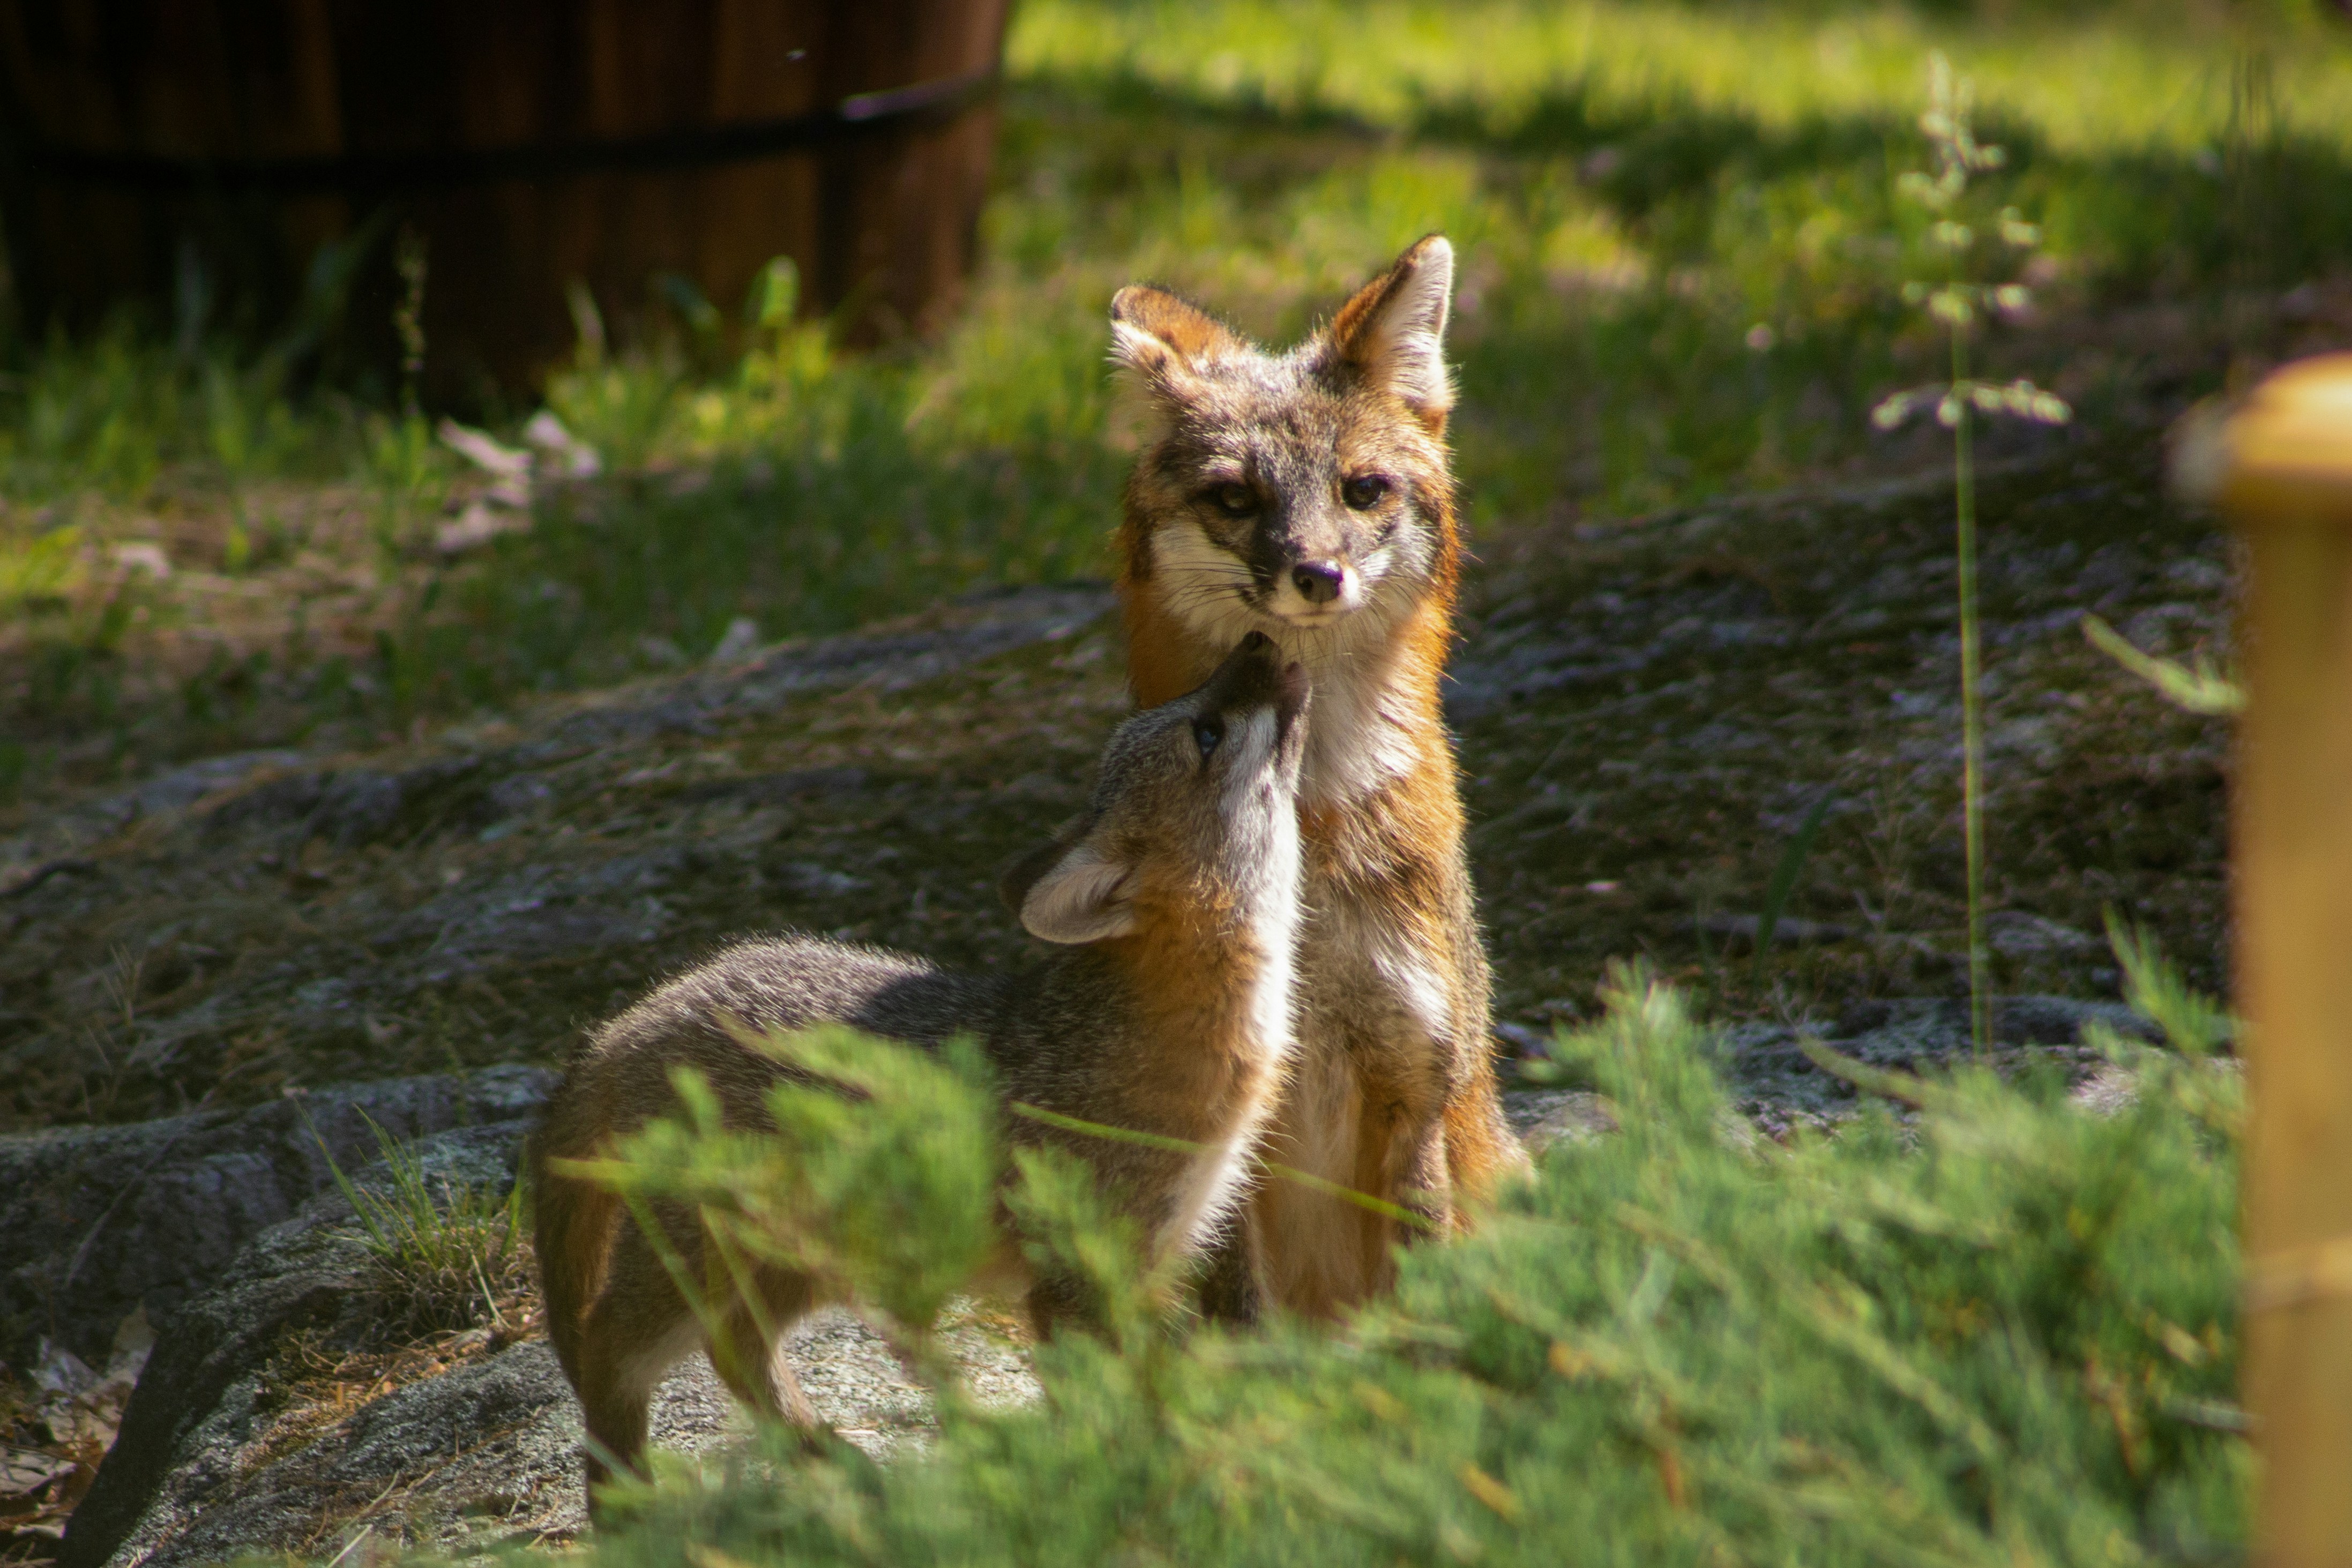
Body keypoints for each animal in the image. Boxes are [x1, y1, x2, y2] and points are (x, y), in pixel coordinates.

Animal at [530, 632, 1309, 1496]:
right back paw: (628, 1505)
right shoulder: (1071, 1280)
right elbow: (1104, 1416)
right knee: (608, 1349)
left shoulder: (1147, 1262)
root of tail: (625, 1021)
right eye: (1206, 731)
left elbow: (1149, 1395)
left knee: (734, 1352)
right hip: (698, 1271)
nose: (1258, 638)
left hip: (792, 1266)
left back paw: (833, 1464)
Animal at [1108, 234, 1528, 1319]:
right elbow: (1249, 1320)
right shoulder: (1232, 1124)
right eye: (1234, 498)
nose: (1316, 573)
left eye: (1361, 490)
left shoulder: (1414, 1083)